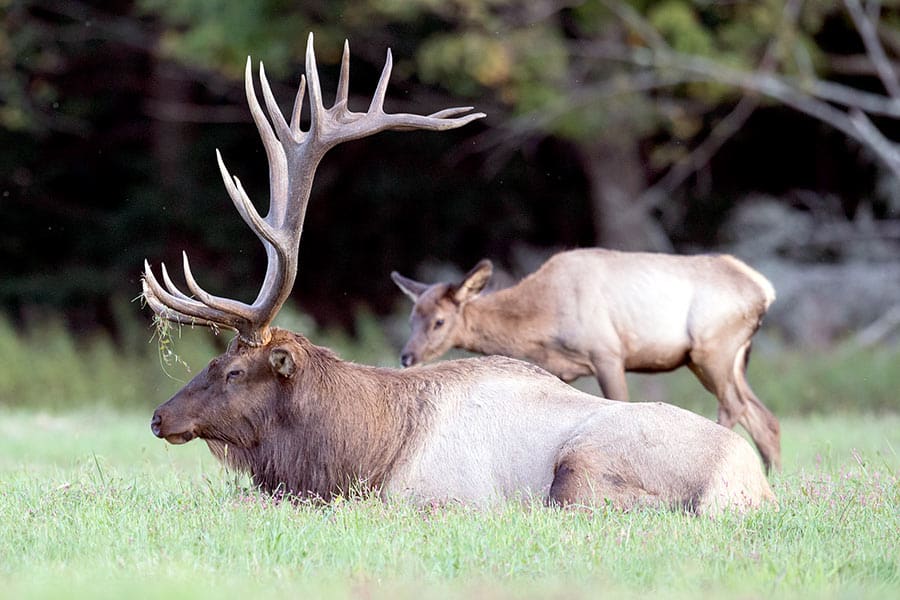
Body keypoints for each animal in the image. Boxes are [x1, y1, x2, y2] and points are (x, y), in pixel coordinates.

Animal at [392, 251, 780, 472]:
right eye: (411, 318)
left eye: (439, 321)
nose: (407, 356)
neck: (543, 324)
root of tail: (765, 290)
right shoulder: (558, 368)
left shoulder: (607, 351)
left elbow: (619, 403)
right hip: (727, 359)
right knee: (764, 417)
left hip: (712, 347)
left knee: (734, 406)